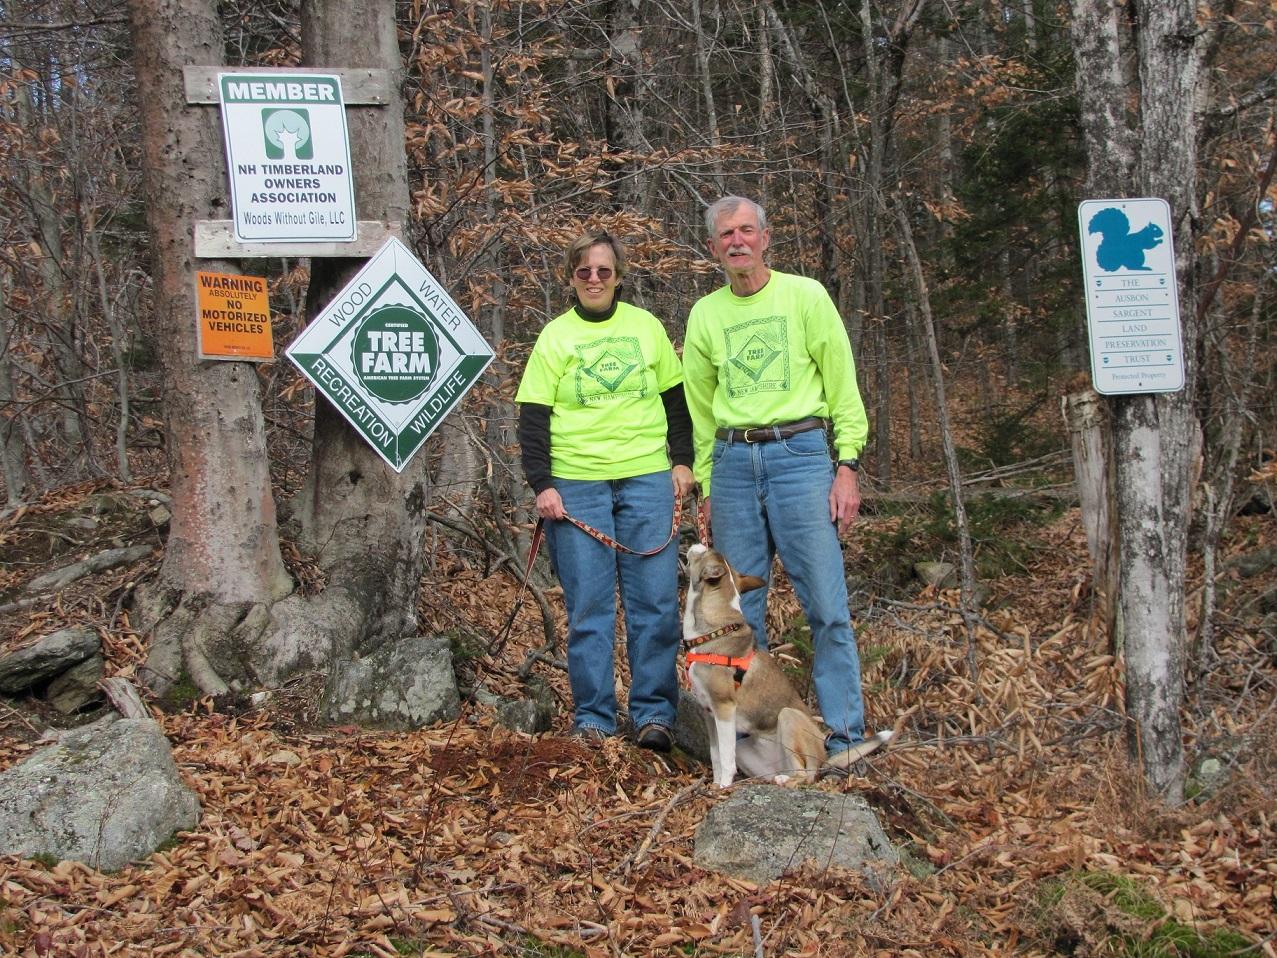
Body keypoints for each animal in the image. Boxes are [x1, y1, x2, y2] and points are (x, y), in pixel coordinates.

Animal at [679, 546, 827, 786]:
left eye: (703, 554)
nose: (698, 545)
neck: (714, 631)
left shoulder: (724, 708)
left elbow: (726, 757)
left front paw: (723, 786)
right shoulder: (709, 712)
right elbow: (716, 755)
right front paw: (715, 785)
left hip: (788, 717)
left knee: (806, 774)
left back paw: (785, 780)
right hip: (749, 752)